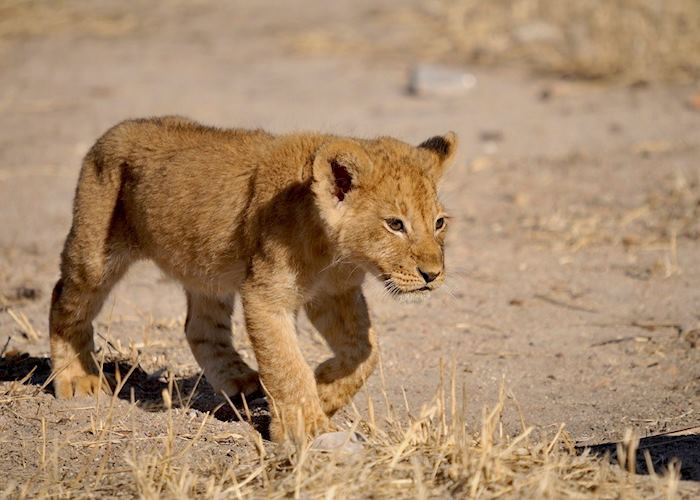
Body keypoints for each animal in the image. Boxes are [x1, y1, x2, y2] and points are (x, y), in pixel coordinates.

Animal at [49, 116, 456, 442]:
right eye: (395, 225)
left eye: (439, 222)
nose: (432, 275)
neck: (334, 253)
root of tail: (115, 130)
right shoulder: (266, 295)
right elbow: (286, 364)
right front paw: (306, 426)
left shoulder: (335, 292)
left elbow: (365, 351)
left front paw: (324, 391)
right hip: (95, 252)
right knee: (63, 298)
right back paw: (76, 378)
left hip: (208, 271)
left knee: (199, 327)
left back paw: (239, 380)